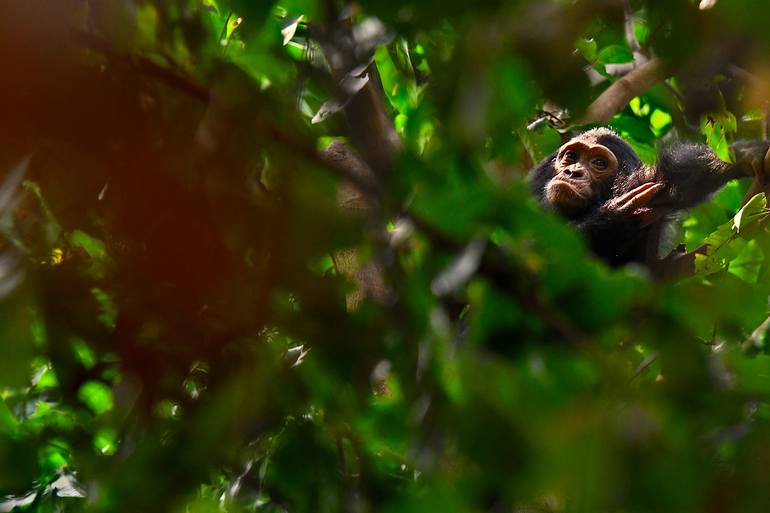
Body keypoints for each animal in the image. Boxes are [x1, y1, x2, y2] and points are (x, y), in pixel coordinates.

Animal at [528, 126, 768, 266]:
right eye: (571, 156)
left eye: (598, 163)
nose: (573, 171)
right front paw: (613, 218)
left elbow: (675, 182)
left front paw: (742, 154)